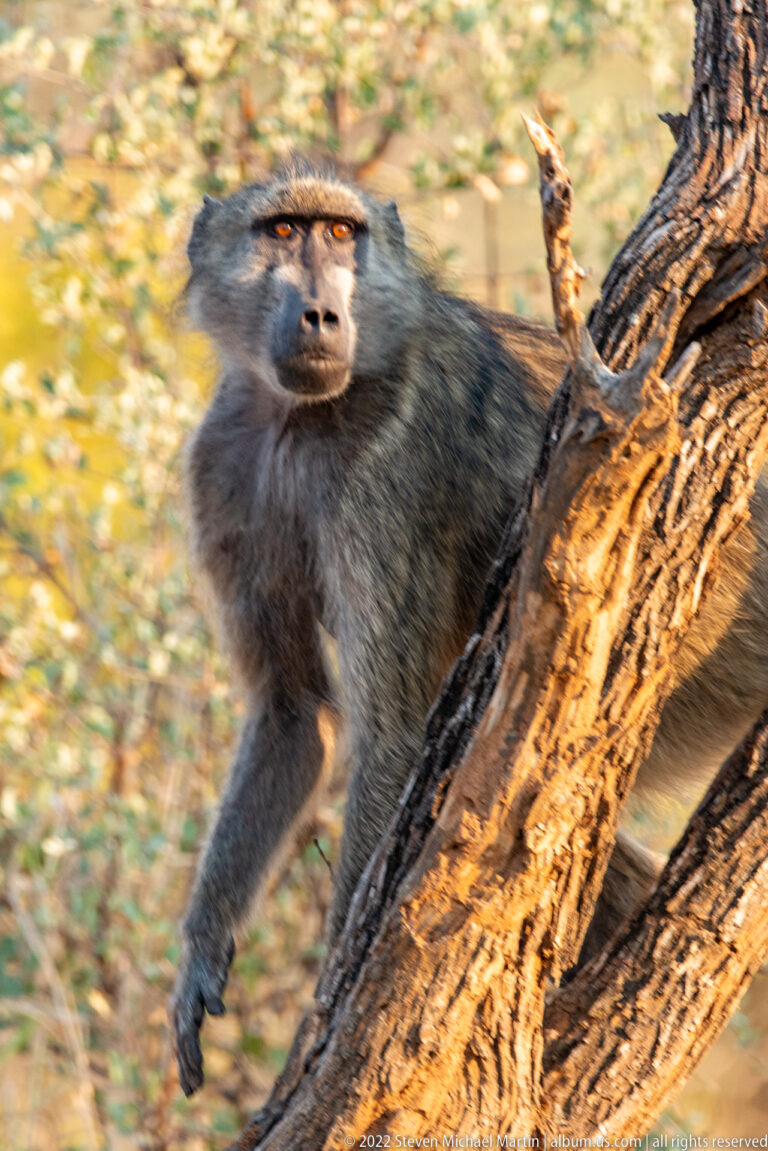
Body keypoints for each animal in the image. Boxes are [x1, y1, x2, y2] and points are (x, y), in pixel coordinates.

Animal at [170, 160, 768, 1096]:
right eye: (282, 232)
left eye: (341, 236)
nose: (321, 314)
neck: (301, 416)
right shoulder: (222, 462)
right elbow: (293, 709)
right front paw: (200, 953)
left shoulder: (391, 469)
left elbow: (390, 728)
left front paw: (325, 1019)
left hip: (703, 638)